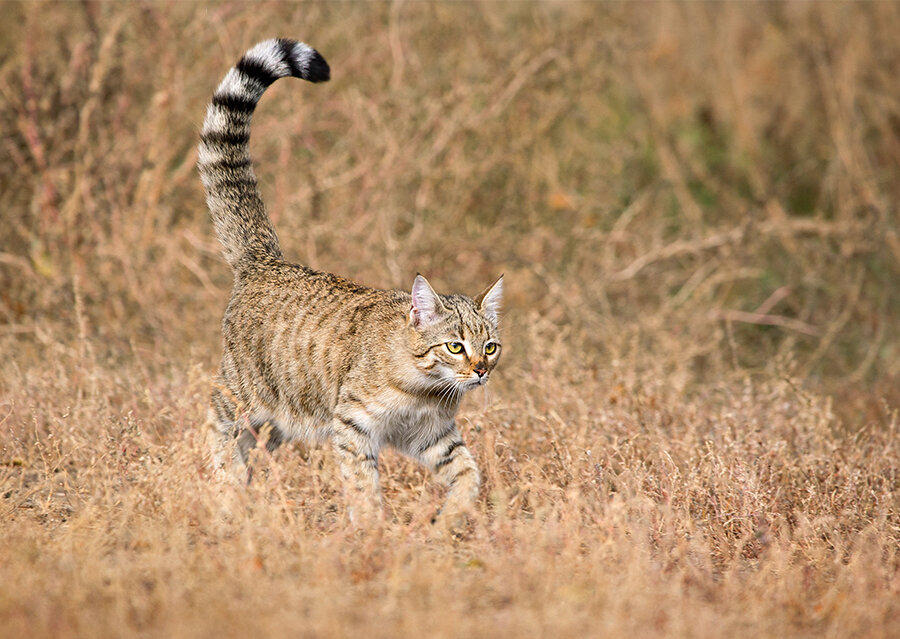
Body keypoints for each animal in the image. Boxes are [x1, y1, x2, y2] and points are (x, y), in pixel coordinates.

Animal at [199, 38, 506, 524]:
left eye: (490, 347)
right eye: (455, 346)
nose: (479, 370)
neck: (424, 389)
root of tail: (264, 260)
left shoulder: (431, 436)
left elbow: (468, 473)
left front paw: (448, 521)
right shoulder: (353, 425)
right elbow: (363, 487)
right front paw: (371, 531)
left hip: (284, 420)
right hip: (245, 394)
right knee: (216, 422)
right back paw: (226, 490)